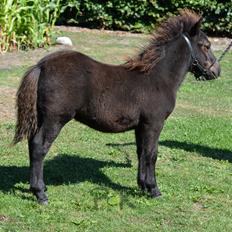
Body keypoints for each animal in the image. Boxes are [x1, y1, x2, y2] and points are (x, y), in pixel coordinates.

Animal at [13, 9, 220, 205]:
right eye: (206, 45)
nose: (217, 71)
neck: (158, 78)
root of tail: (41, 66)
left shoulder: (141, 126)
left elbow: (141, 153)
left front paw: (142, 186)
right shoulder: (154, 123)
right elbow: (152, 154)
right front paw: (154, 189)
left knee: (32, 144)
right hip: (55, 119)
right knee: (39, 146)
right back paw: (40, 193)